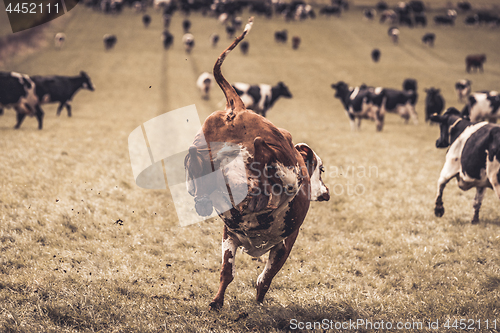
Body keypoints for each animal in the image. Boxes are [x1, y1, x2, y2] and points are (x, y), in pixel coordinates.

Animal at [186, 17, 330, 308]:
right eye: (321, 169)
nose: (326, 193)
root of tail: (238, 109)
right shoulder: (285, 242)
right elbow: (265, 278)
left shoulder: (229, 235)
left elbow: (226, 272)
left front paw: (217, 302)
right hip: (279, 151)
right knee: (269, 158)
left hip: (207, 138)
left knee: (199, 159)